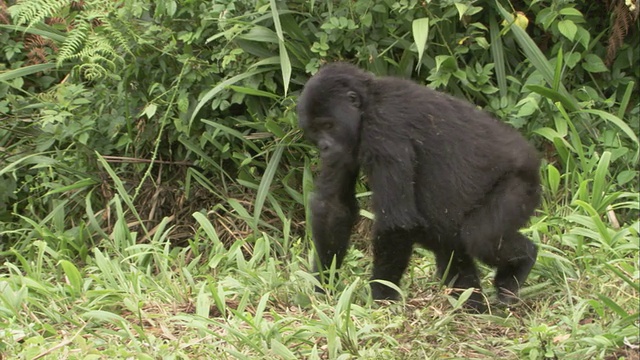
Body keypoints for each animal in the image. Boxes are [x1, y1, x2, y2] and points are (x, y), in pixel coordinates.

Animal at [296, 60, 540, 310]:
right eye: (315, 131)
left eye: (328, 125)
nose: (324, 147)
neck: (368, 103)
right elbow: (333, 206)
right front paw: (323, 287)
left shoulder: (384, 130)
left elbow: (396, 222)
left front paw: (381, 298)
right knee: (447, 239)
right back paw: (474, 304)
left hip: (520, 186)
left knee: (481, 236)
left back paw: (523, 262)